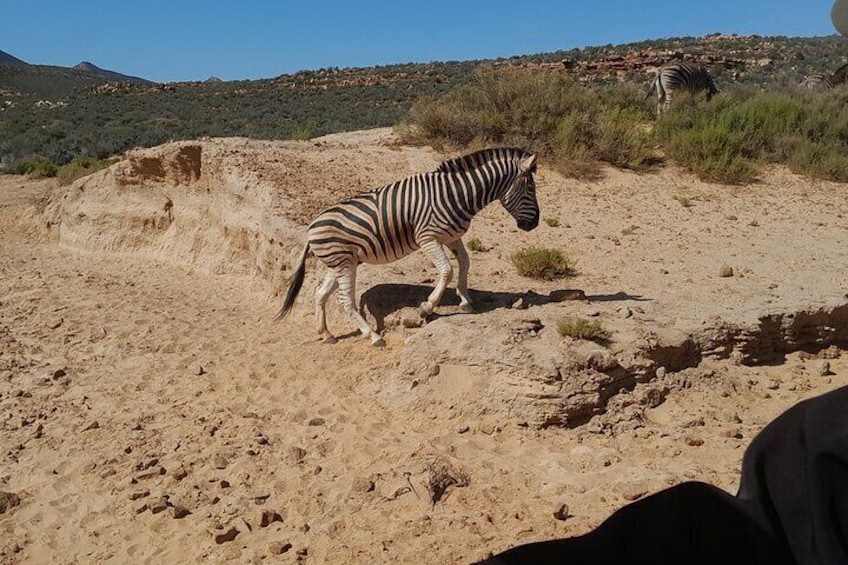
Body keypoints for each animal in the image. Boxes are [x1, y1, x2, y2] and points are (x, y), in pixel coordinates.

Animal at [280, 145, 544, 346]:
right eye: (531, 188)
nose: (534, 224)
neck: (457, 195)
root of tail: (311, 228)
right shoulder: (427, 238)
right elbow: (447, 270)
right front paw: (426, 307)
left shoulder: (452, 237)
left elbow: (465, 263)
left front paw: (465, 300)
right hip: (343, 264)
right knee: (346, 301)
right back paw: (374, 336)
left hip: (341, 263)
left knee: (320, 293)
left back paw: (326, 333)